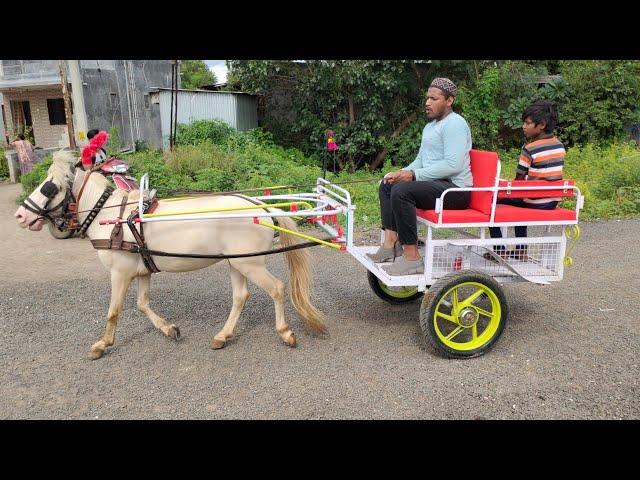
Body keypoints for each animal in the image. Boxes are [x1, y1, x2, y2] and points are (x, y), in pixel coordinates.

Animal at [15, 152, 324, 358]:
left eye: (50, 186)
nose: (20, 215)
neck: (110, 216)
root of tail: (262, 206)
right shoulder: (142, 270)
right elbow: (142, 305)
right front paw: (168, 329)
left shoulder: (120, 273)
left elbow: (114, 311)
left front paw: (102, 344)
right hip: (239, 262)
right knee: (240, 297)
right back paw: (222, 336)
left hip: (251, 263)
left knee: (277, 288)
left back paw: (285, 332)